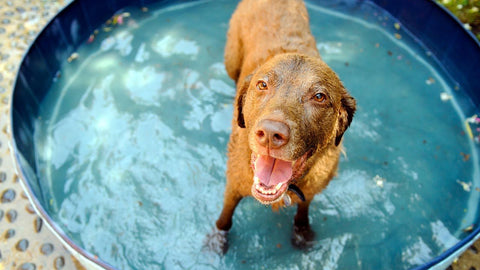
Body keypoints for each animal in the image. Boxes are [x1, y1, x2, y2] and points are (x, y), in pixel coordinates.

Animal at [207, 0, 356, 253]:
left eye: (319, 96)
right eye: (262, 84)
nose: (269, 134)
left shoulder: (313, 187)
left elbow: (304, 209)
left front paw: (302, 232)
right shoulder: (234, 183)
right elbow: (225, 216)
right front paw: (218, 238)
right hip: (231, 60)